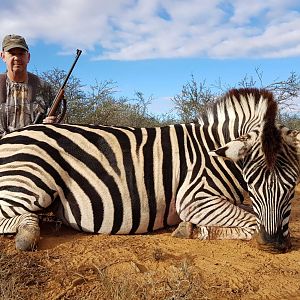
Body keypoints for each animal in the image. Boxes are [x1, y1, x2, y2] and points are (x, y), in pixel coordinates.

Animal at [0, 88, 298, 252]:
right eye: (253, 185)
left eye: (292, 187)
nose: (274, 245)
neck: (214, 151)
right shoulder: (194, 198)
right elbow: (251, 220)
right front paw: (193, 230)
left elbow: (249, 215)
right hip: (32, 180)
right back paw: (28, 232)